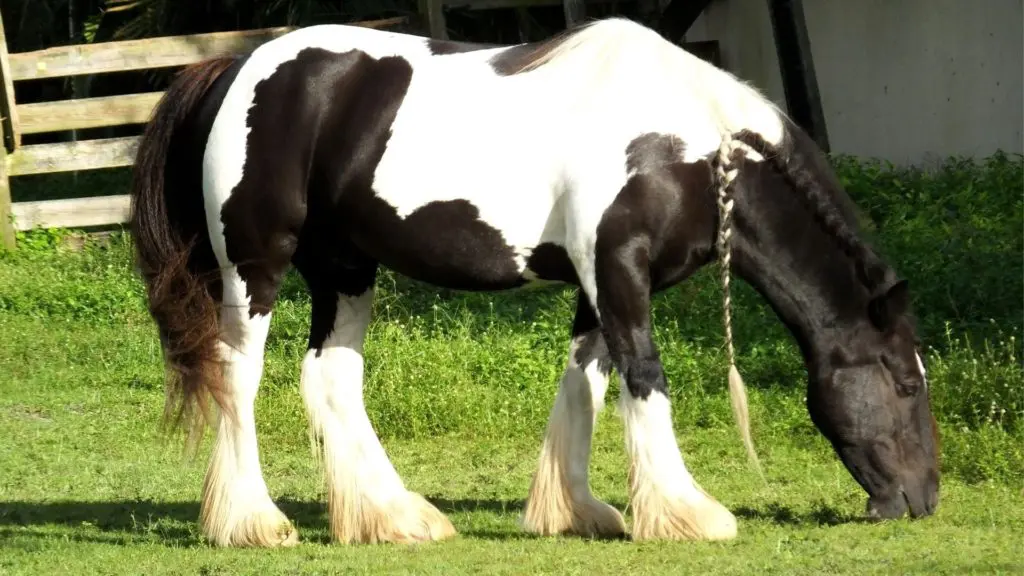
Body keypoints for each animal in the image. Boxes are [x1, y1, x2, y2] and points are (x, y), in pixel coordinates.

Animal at [130, 17, 942, 545]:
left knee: (331, 377)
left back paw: (395, 518)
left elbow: (587, 382)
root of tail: (237, 69)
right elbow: (645, 376)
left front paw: (577, 510)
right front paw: (687, 514)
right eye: (905, 382)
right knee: (237, 376)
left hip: (346, 269)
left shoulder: (599, 284)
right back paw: (253, 523)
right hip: (255, 269)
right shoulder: (618, 270)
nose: (922, 498)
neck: (689, 146)